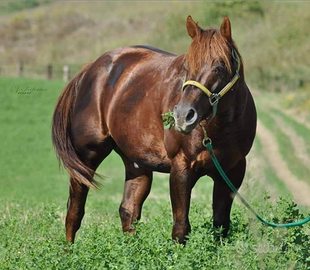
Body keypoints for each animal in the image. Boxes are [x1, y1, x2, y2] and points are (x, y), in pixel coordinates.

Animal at [52, 15, 256, 244]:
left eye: (219, 67)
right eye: (186, 67)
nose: (183, 115)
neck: (219, 129)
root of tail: (91, 68)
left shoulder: (232, 173)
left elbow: (221, 226)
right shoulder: (181, 168)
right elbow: (181, 228)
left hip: (136, 163)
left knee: (128, 211)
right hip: (87, 157)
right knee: (74, 212)